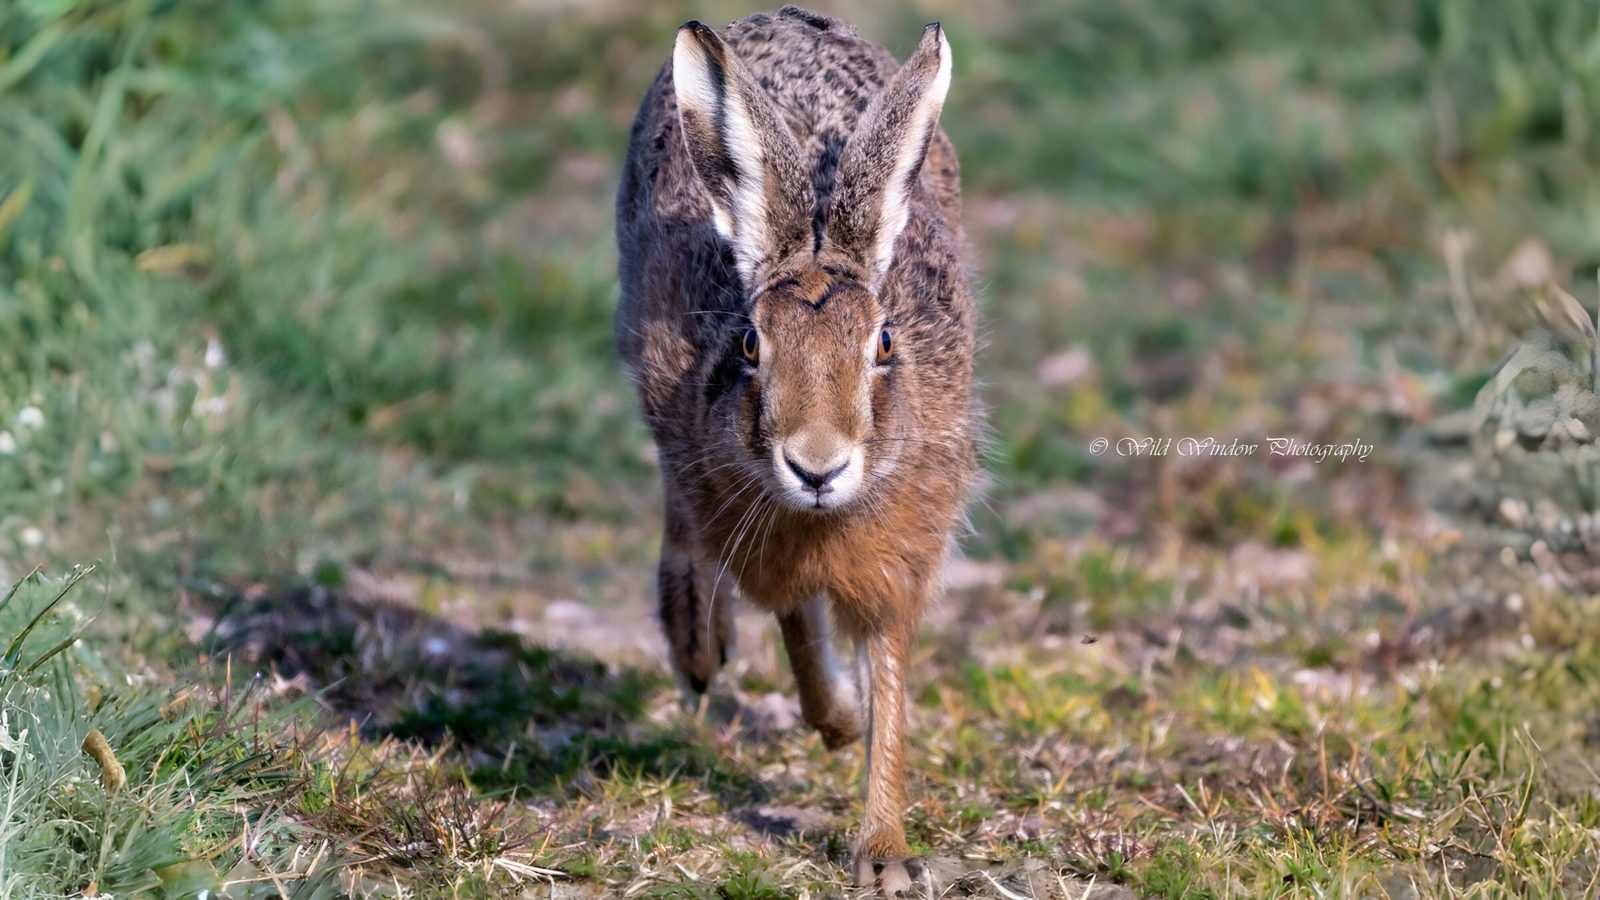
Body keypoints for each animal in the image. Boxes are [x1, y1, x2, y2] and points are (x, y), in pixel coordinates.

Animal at [615, 6, 977, 894]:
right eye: (751, 344)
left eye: (884, 343)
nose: (817, 465)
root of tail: (777, 17)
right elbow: (798, 634)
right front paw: (838, 721)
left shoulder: (900, 563)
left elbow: (890, 679)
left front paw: (884, 854)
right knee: (682, 524)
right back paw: (697, 640)